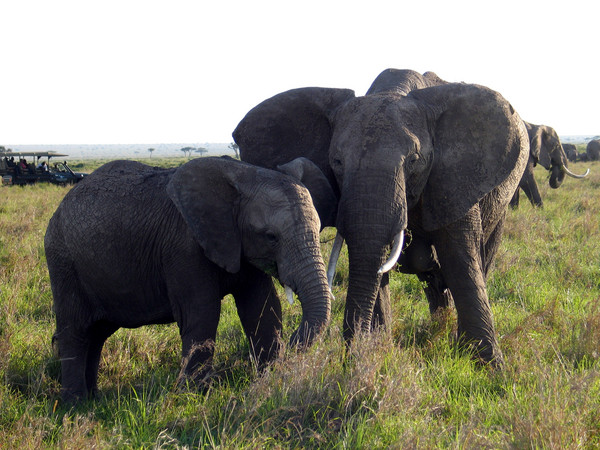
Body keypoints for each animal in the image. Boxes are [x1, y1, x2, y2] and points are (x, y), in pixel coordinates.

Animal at [43, 156, 332, 402]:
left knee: (97, 332)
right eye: (271, 237)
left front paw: (270, 379)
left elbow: (262, 308)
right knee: (75, 330)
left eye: (318, 229)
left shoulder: (240, 244)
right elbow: (202, 313)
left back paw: (93, 398)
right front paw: (193, 397)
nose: (293, 343)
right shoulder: (183, 247)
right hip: (63, 262)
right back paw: (74, 404)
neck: (246, 173)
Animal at [232, 78, 528, 366]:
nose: (292, 344)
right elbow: (372, 262)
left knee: (480, 259)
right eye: (336, 162)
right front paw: (377, 350)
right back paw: (438, 326)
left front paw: (490, 368)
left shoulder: (451, 180)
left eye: (413, 160)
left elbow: (460, 260)